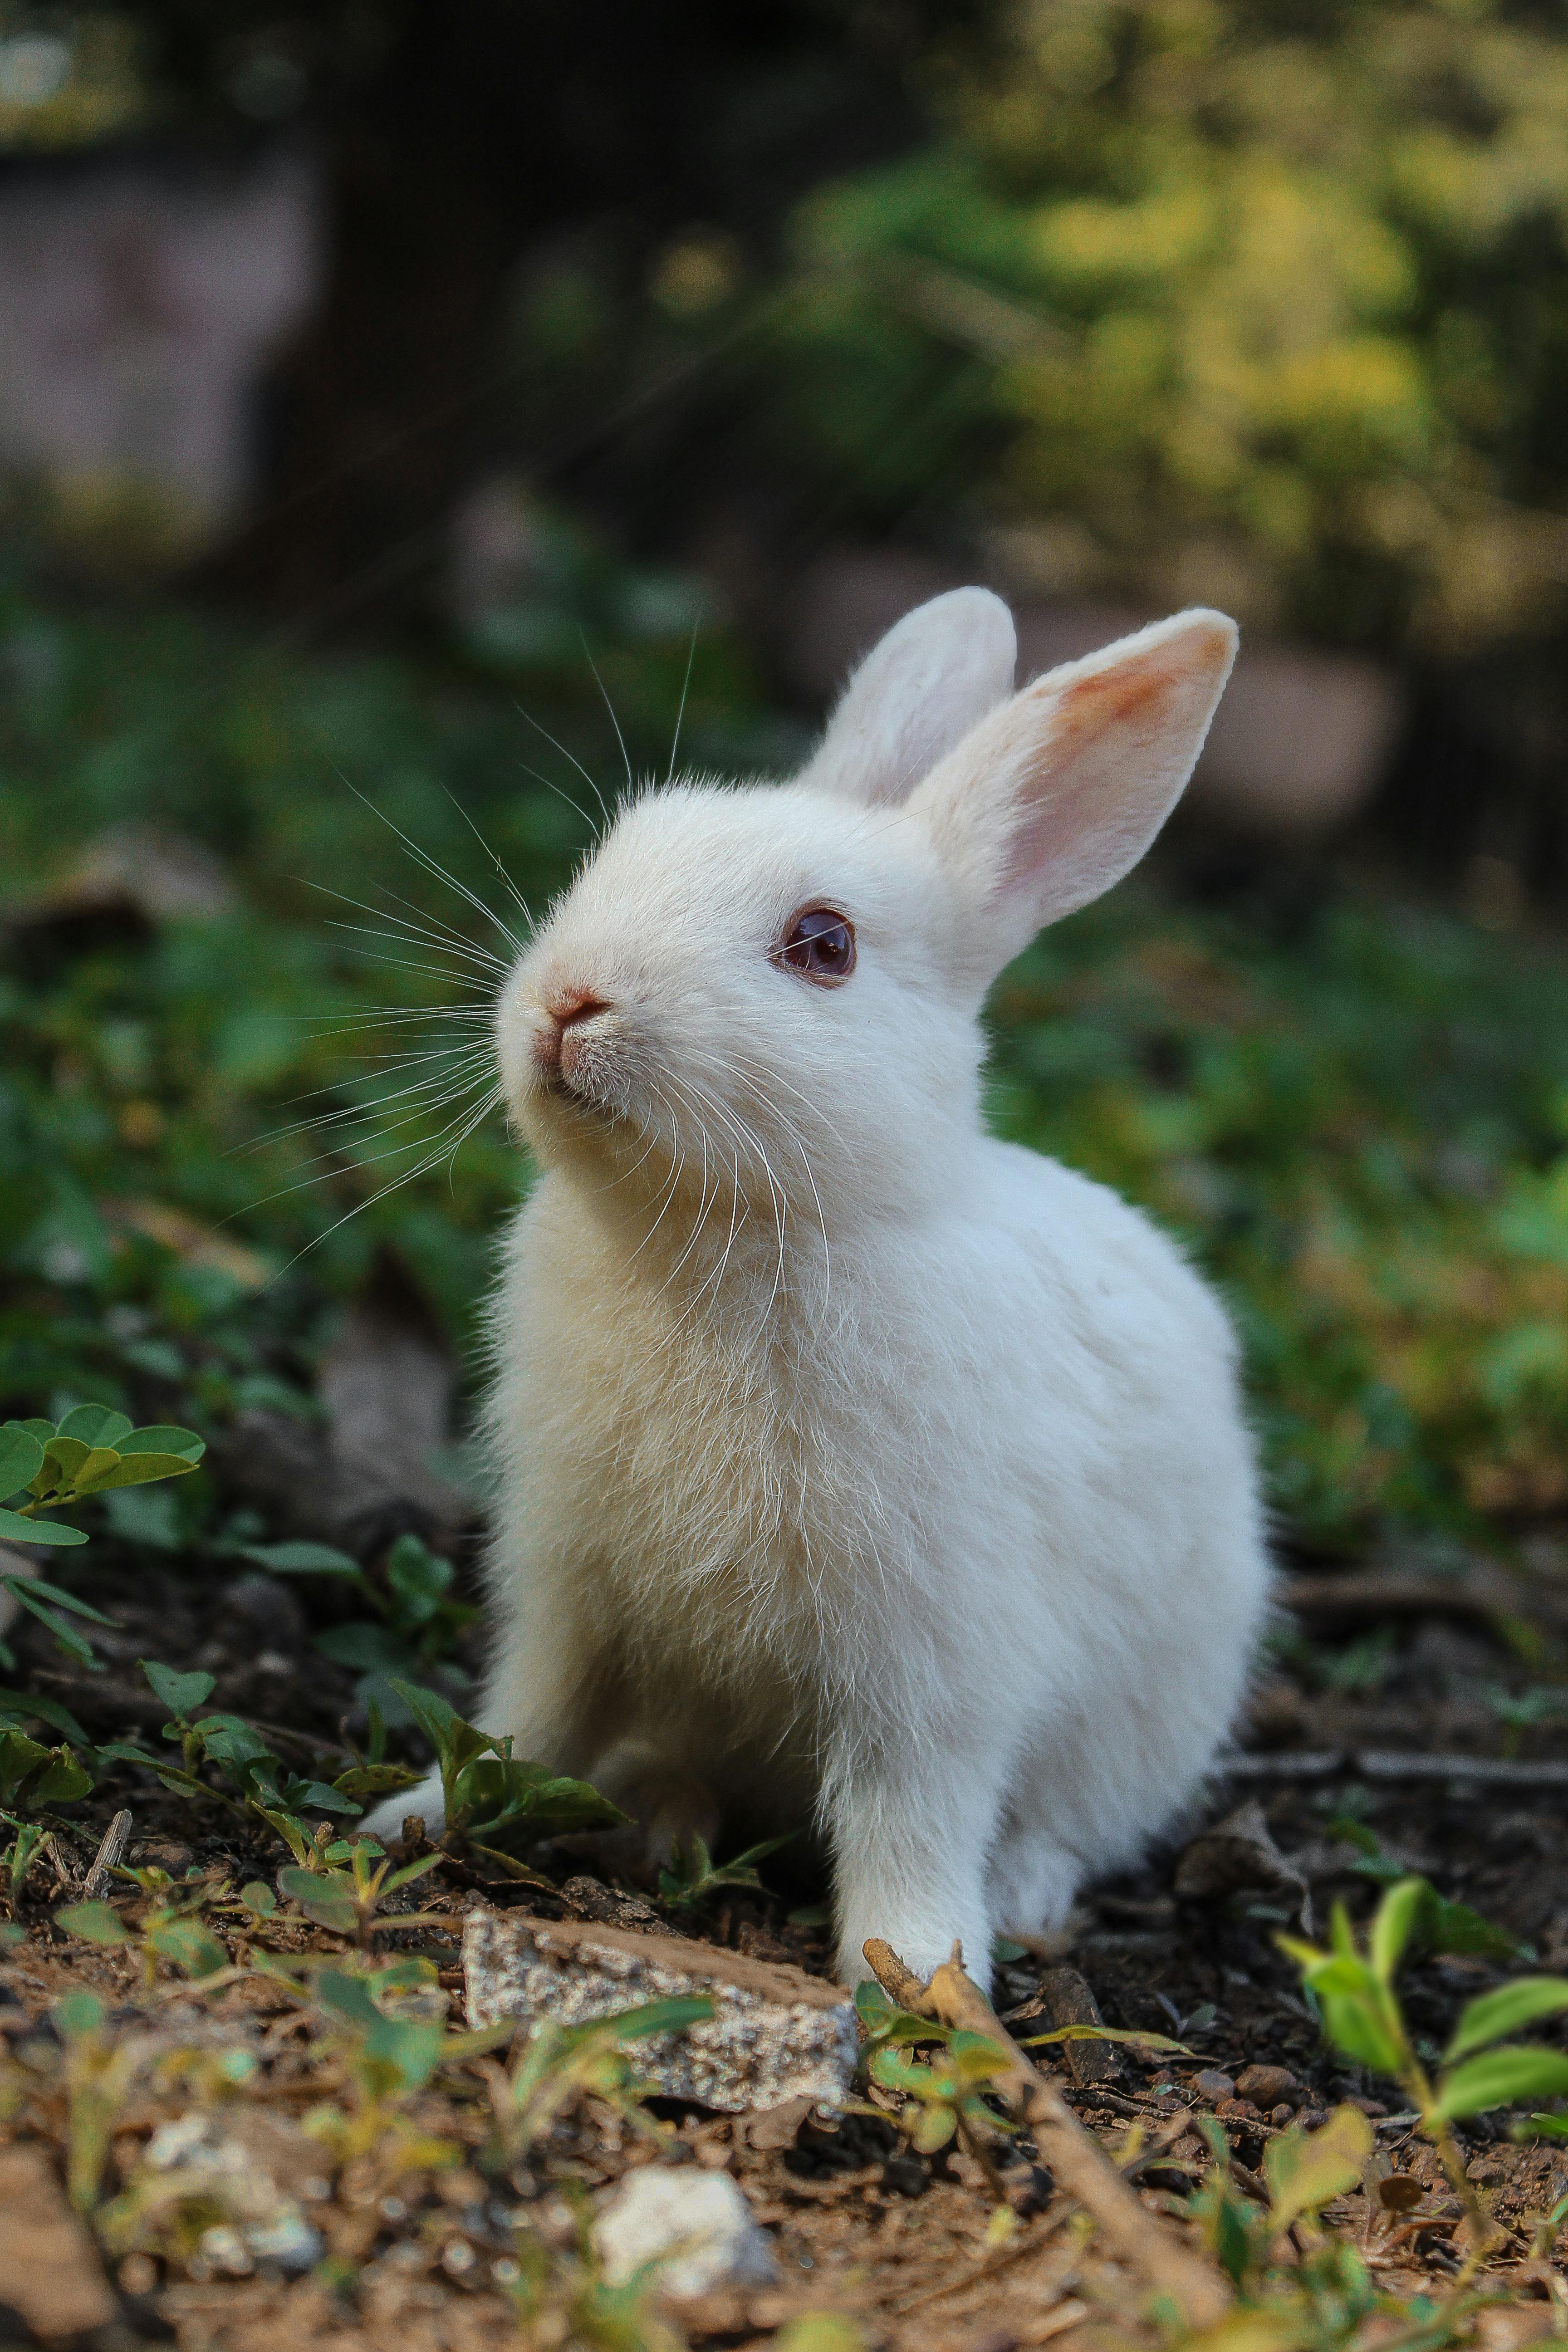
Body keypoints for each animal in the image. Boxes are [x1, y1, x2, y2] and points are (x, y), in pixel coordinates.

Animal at [369, 588, 1279, 1985]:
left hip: (1150, 1713)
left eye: (824, 945)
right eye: (614, 852)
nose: (570, 1002)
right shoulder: (570, 1589)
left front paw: (918, 1975)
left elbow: (912, 1813)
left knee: (1067, 1822)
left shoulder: (932, 1659)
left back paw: (1019, 1896)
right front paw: (420, 1814)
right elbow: (529, 1717)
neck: (734, 1232)